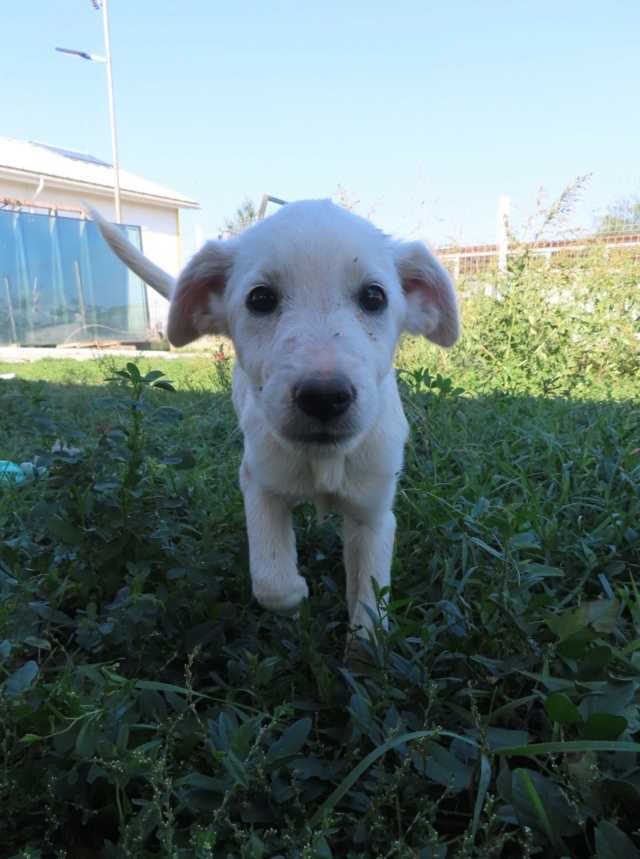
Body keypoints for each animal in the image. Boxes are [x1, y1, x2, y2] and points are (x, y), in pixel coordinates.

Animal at [91, 200, 460, 632]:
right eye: (261, 298)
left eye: (373, 296)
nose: (324, 397)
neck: (322, 461)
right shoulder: (259, 483)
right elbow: (271, 582)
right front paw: (296, 596)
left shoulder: (375, 517)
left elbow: (370, 609)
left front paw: (365, 645)